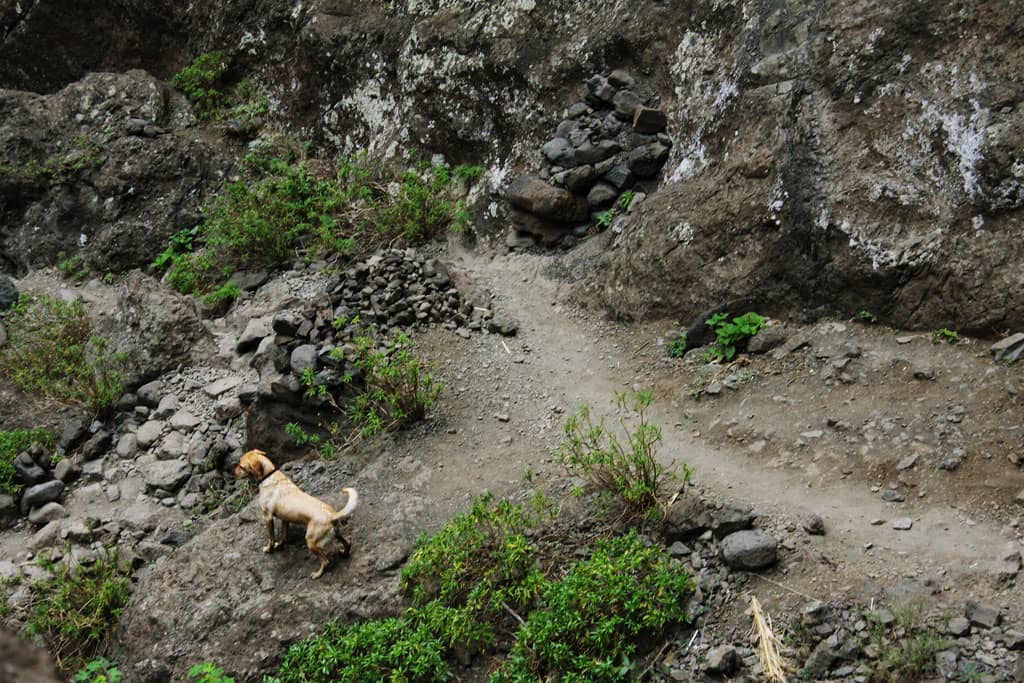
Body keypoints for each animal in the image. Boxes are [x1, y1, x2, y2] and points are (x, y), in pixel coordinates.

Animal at [234, 450, 358, 581]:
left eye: (241, 466)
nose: (233, 472)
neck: (269, 475)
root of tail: (332, 515)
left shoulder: (267, 517)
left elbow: (271, 538)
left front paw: (269, 549)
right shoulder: (285, 519)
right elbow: (283, 536)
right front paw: (280, 545)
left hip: (311, 541)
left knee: (326, 561)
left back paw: (317, 574)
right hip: (336, 534)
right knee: (348, 543)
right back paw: (344, 553)